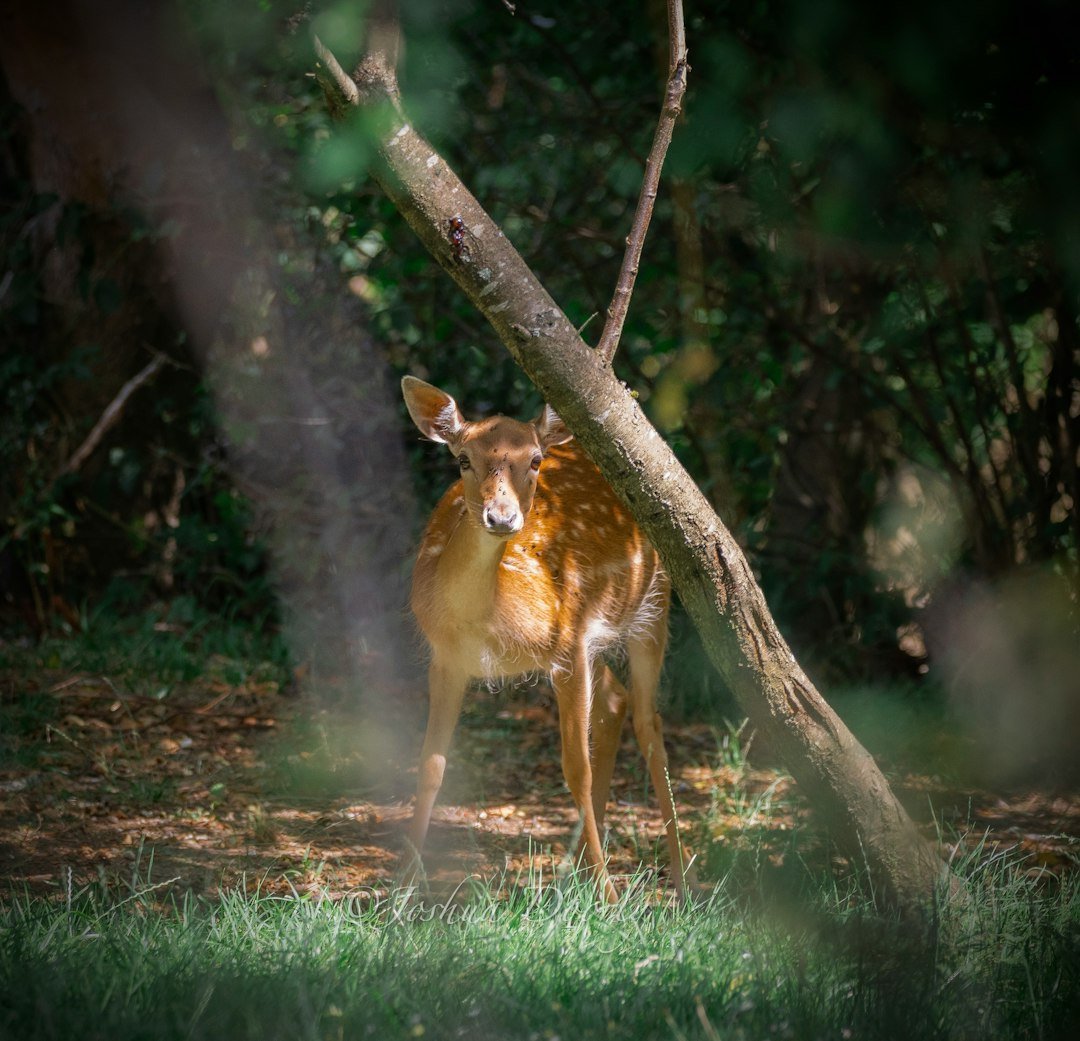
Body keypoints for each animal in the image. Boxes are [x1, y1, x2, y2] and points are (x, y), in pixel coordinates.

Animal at [400, 375, 690, 902]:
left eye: (534, 460)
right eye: (462, 458)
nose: (501, 517)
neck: (485, 619)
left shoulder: (567, 644)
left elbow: (576, 769)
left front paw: (610, 897)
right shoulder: (446, 659)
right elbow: (430, 766)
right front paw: (401, 889)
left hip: (653, 601)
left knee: (649, 723)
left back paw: (681, 879)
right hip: (596, 637)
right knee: (615, 701)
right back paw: (577, 872)